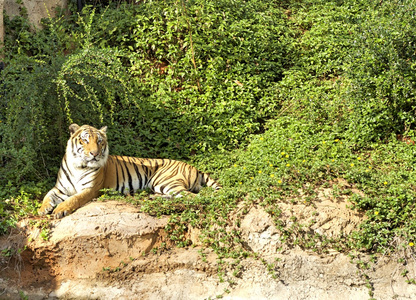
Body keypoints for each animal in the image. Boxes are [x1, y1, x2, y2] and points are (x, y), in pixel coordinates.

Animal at [38, 123, 221, 219]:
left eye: (99, 141)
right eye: (85, 140)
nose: (95, 154)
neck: (79, 165)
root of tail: (194, 167)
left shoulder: (90, 189)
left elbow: (73, 199)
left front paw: (60, 210)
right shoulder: (60, 188)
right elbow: (47, 196)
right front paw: (43, 209)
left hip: (164, 181)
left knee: (192, 197)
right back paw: (155, 198)